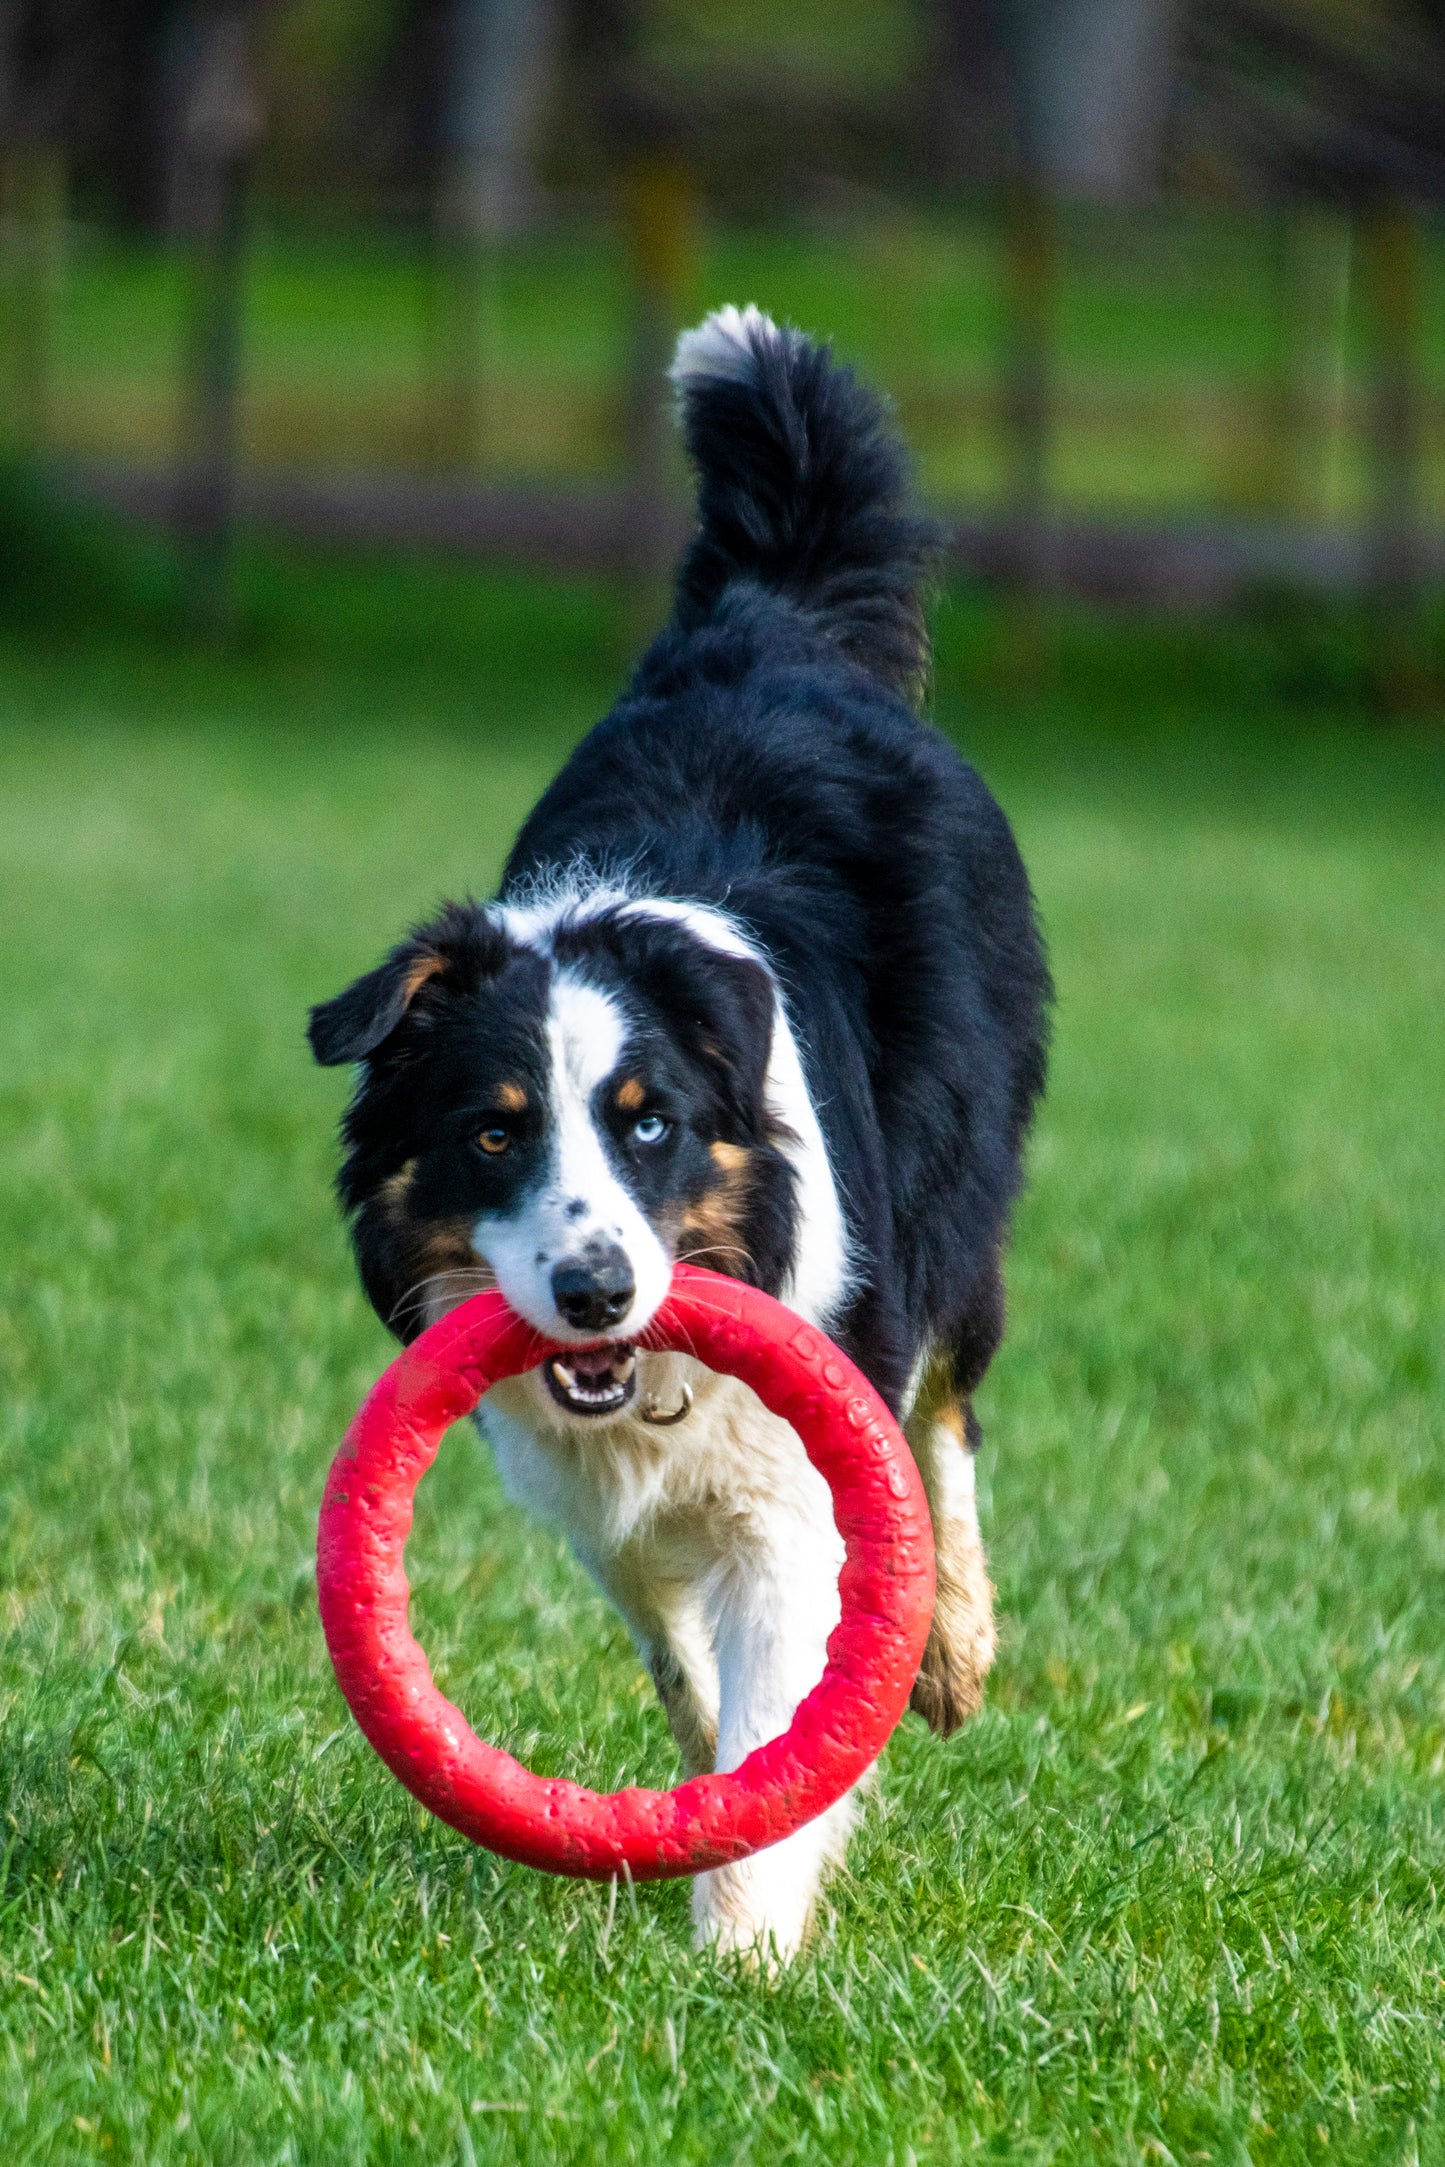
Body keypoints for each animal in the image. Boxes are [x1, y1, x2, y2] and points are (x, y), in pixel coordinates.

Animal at [307, 309, 1052, 1967]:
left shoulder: (796, 1462)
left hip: (954, 1208)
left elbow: (796, 1667)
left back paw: (956, 1641)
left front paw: (747, 1945)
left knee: (950, 1409)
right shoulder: (591, 1485)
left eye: (647, 1124)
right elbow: (677, 1633)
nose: (593, 1292)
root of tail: (776, 629)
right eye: (495, 1132)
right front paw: (717, 1789)